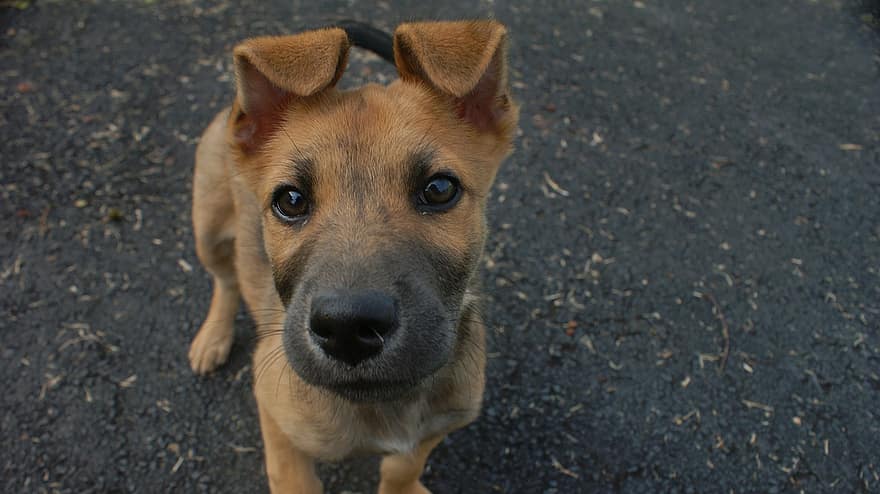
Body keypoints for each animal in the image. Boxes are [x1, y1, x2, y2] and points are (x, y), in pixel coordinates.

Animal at [186, 20, 516, 494]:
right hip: (208, 227)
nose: (346, 329)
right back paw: (213, 336)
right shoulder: (274, 410)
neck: (390, 400)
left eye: (439, 189)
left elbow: (401, 467)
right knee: (226, 280)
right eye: (290, 200)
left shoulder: (437, 424)